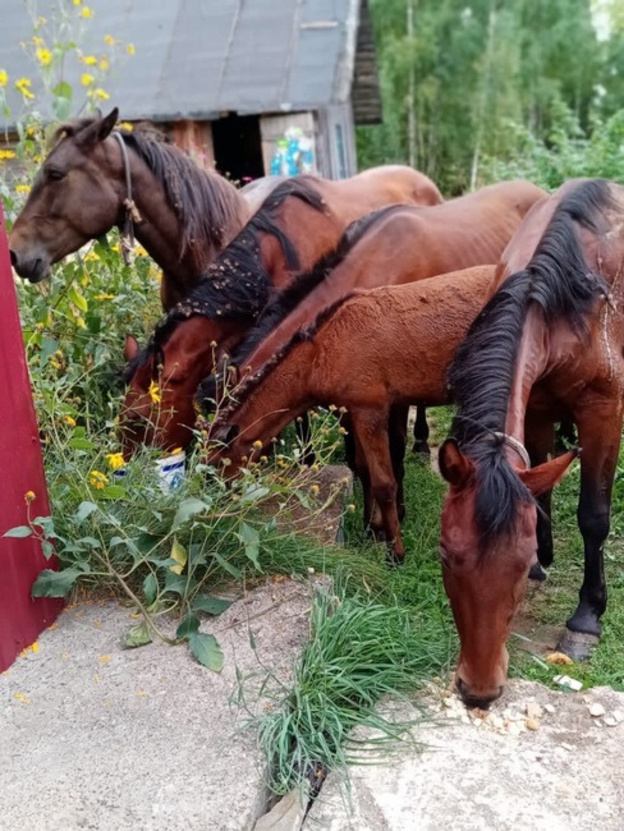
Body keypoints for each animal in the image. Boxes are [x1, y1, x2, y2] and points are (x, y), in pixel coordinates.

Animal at [205, 266, 498, 564]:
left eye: (214, 465)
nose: (217, 510)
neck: (323, 352)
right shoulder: (355, 413)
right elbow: (363, 469)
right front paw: (372, 527)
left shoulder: (370, 412)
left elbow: (384, 483)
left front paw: (395, 551)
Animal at [436, 179, 624, 712]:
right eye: (444, 557)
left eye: (516, 569)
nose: (479, 690)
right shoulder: (537, 407)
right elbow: (538, 485)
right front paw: (545, 554)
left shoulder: (604, 411)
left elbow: (593, 516)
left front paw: (586, 619)